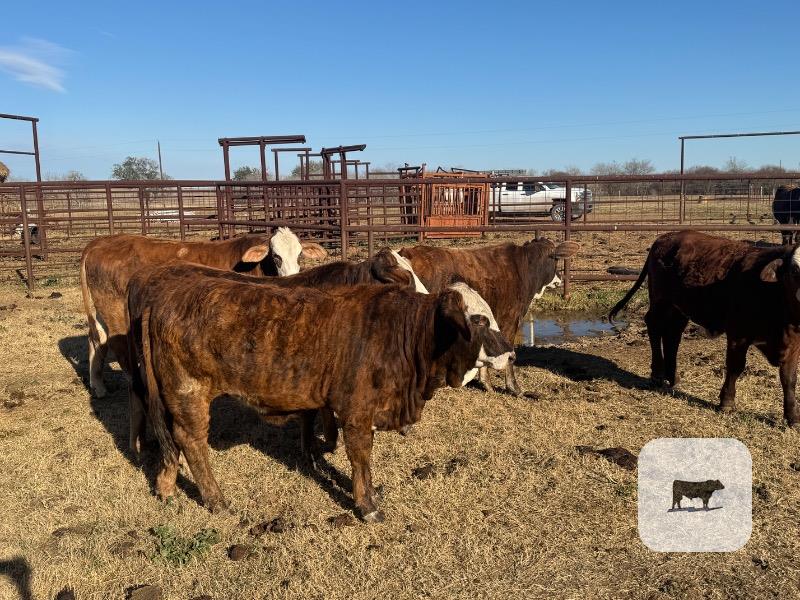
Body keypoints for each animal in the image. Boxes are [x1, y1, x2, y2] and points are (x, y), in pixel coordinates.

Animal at [80, 228, 327, 398]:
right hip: (116, 313)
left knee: (96, 340)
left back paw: (98, 386)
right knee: (117, 345)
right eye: (276, 256)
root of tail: (99, 243)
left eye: (300, 255)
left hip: (100, 311)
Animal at [399, 238, 579, 394]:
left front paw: (486, 383)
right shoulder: (510, 319)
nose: (560, 278)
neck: (524, 268)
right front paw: (514, 388)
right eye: (556, 260)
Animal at [609, 230, 800, 426]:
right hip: (660, 300)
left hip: (678, 308)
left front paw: (792, 417)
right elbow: (735, 367)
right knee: (654, 326)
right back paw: (657, 374)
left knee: (673, 335)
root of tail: (665, 237)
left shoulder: (794, 344)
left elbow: (789, 378)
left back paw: (673, 377)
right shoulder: (737, 335)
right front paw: (727, 403)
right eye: (795, 271)